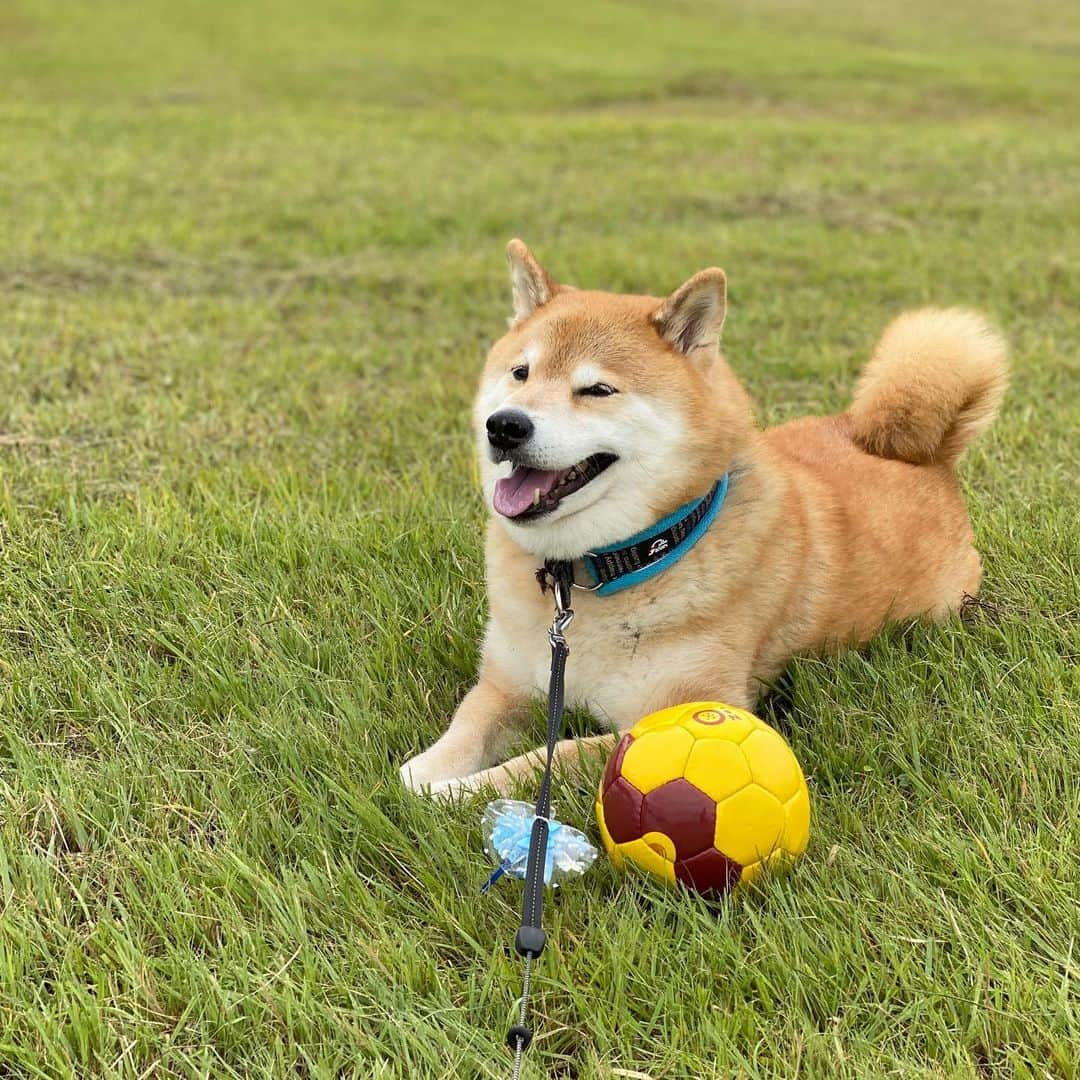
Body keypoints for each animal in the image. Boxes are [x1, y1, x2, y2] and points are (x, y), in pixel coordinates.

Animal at [401, 243, 1006, 794]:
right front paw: (424, 773)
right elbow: (466, 727)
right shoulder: (509, 684)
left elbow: (550, 758)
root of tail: (921, 455)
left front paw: (459, 791)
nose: (505, 425)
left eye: (597, 389)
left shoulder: (682, 711)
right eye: (520, 373)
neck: (606, 570)